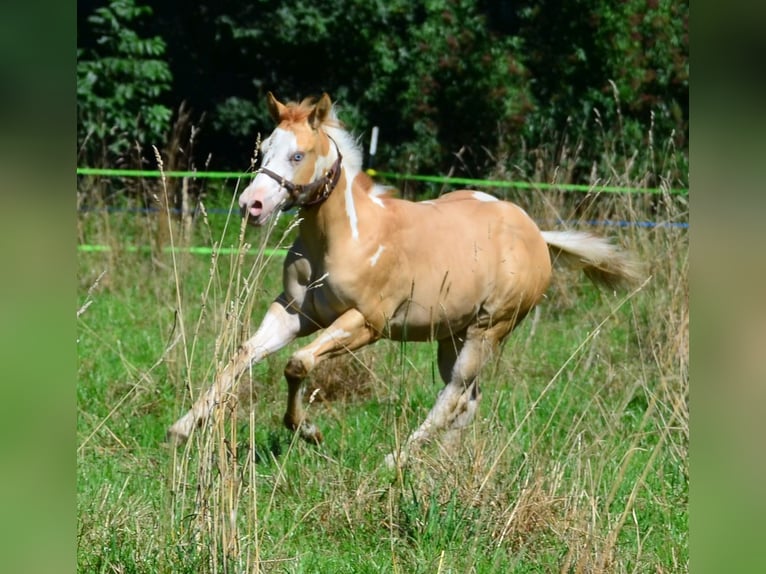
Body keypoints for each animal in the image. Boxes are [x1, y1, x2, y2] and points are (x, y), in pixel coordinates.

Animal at [167, 92, 640, 466]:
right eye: (265, 148)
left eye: (297, 155)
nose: (252, 205)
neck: (346, 237)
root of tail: (535, 234)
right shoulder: (293, 313)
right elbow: (243, 355)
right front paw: (183, 427)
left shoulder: (366, 323)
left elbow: (298, 363)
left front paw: (309, 431)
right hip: (452, 334)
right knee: (467, 399)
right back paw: (444, 462)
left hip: (489, 329)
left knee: (453, 395)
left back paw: (397, 459)